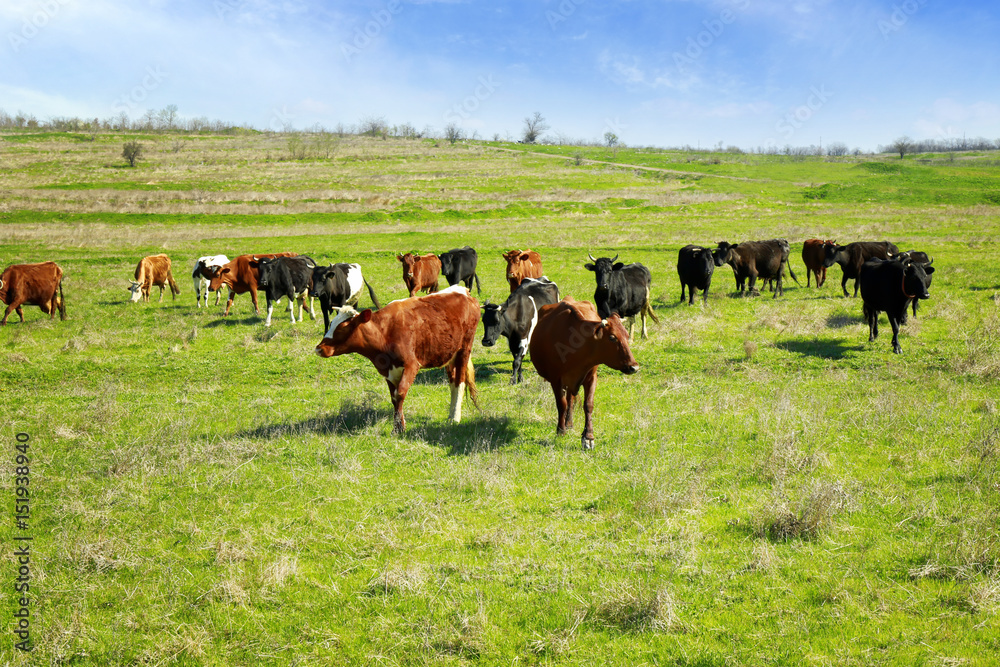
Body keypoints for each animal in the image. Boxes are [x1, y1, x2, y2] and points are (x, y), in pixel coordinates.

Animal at [315, 285, 479, 434]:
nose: (319, 348)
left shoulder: (412, 365)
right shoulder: (388, 371)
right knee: (452, 383)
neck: (385, 333)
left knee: (459, 383)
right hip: (449, 355)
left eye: (343, 327)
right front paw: (398, 426)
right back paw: (450, 415)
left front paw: (399, 428)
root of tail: (465, 291)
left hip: (464, 349)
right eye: (331, 323)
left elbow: (400, 393)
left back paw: (455, 418)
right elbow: (394, 398)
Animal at [529, 298, 639, 450]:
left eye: (627, 335)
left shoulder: (591, 377)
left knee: (571, 398)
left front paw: (588, 437)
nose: (634, 367)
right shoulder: (556, 379)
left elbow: (588, 404)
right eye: (612, 337)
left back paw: (569, 422)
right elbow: (561, 404)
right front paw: (560, 431)